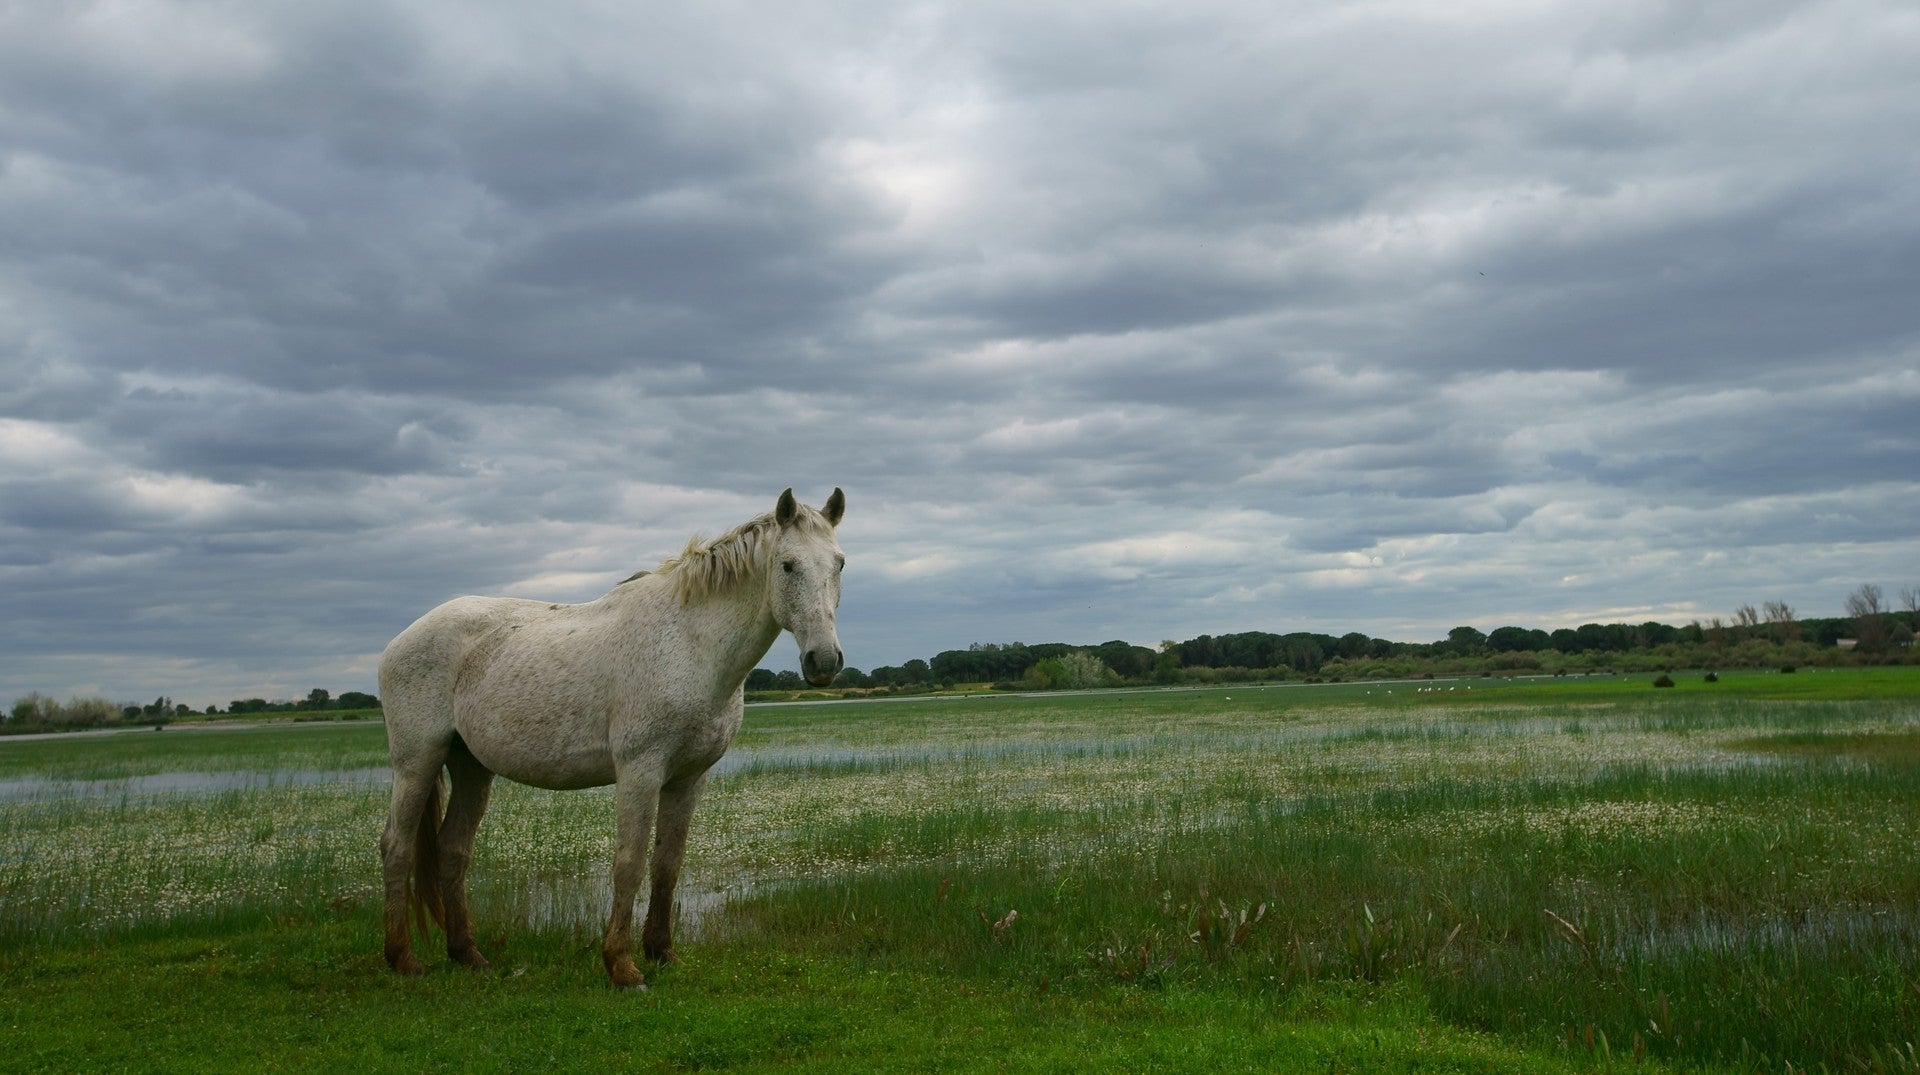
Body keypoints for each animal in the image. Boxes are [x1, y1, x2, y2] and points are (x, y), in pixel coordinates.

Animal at [378, 491, 844, 990]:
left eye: (839, 564)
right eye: (788, 566)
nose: (823, 660)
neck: (689, 643)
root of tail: (400, 640)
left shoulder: (689, 778)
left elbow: (667, 864)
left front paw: (662, 951)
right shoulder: (640, 771)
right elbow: (630, 862)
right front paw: (621, 965)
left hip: (470, 767)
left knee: (453, 850)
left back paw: (468, 954)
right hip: (417, 761)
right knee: (397, 846)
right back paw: (403, 959)